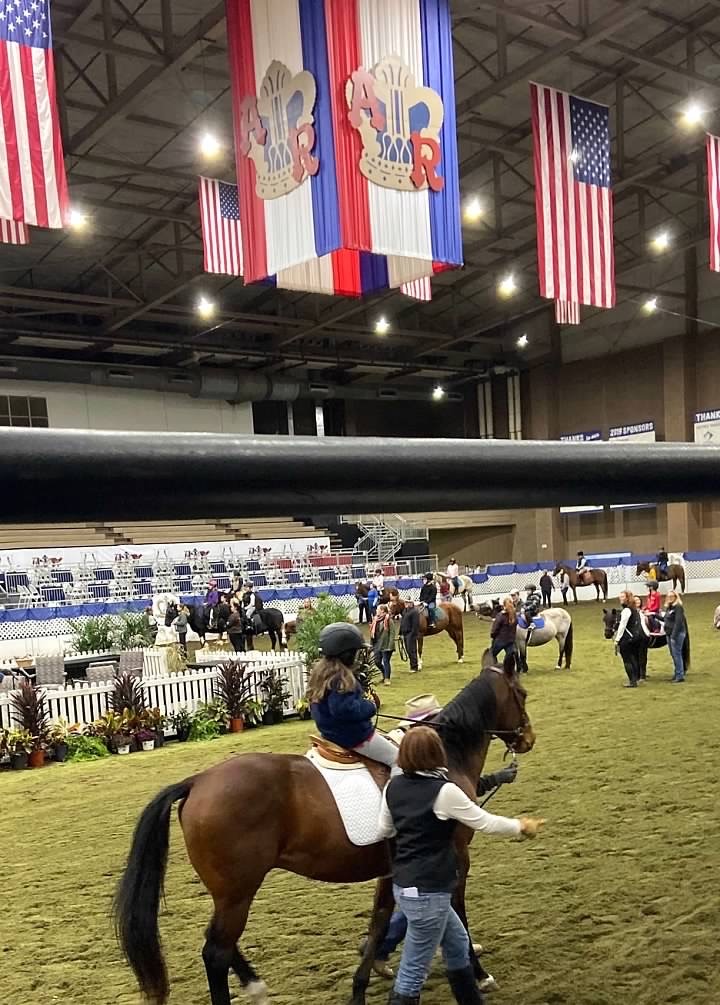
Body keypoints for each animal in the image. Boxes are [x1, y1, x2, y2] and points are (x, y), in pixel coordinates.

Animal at [114, 651, 534, 1005]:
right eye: (522, 693)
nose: (528, 739)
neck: (442, 752)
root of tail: (198, 780)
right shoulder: (455, 858)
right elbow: (456, 911)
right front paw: (478, 973)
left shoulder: (393, 871)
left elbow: (380, 919)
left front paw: (363, 983)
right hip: (238, 892)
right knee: (215, 952)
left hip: (230, 893)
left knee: (220, 944)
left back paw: (256, 986)